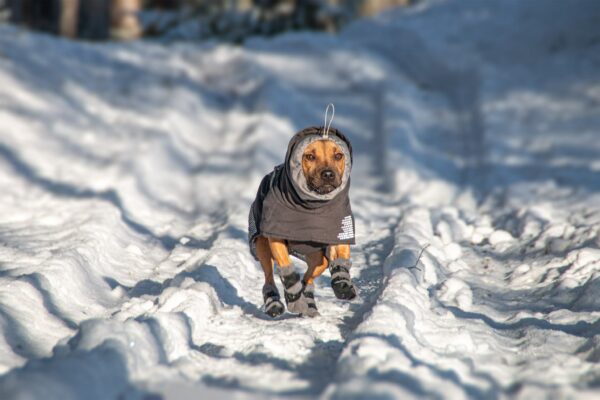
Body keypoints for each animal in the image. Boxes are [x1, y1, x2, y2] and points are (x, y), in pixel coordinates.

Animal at [248, 126, 356, 318]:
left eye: (338, 155)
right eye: (310, 156)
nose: (328, 174)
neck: (313, 206)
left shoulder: (339, 226)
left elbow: (341, 253)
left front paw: (342, 283)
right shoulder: (276, 234)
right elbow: (286, 267)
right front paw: (293, 298)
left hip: (317, 257)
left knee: (311, 275)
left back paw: (308, 300)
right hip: (260, 243)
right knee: (269, 274)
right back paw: (274, 302)